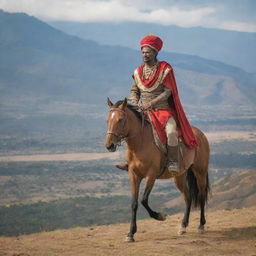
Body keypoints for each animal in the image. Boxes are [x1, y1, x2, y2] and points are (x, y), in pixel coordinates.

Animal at [104, 97, 210, 242]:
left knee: (201, 196)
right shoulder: (134, 175)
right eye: (107, 120)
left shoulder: (151, 175)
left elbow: (144, 200)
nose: (109, 145)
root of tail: (200, 135)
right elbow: (134, 203)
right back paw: (183, 226)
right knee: (187, 197)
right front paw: (130, 233)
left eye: (120, 120)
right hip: (179, 176)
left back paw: (201, 225)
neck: (140, 143)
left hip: (200, 172)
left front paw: (160, 216)